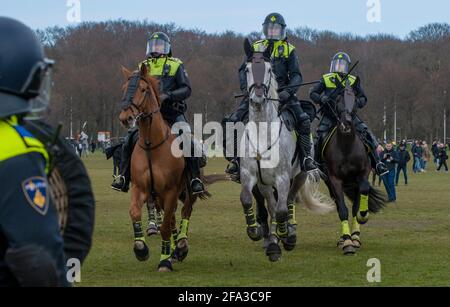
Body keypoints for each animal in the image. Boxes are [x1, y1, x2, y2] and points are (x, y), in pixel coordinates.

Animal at [239, 39, 334, 264]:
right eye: (247, 68)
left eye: (268, 69)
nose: (257, 98)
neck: (262, 131)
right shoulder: (250, 175)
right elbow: (248, 200)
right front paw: (255, 232)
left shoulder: (282, 178)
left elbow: (283, 210)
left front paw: (285, 236)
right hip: (265, 185)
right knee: (272, 207)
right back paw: (274, 241)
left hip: (298, 176)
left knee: (288, 203)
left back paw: (288, 235)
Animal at [320, 80, 386, 256]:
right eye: (338, 99)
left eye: (355, 100)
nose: (346, 124)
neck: (346, 146)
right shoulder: (335, 179)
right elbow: (343, 209)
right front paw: (347, 242)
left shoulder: (362, 173)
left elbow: (362, 196)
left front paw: (363, 218)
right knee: (339, 205)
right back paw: (345, 239)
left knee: (357, 202)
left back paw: (355, 236)